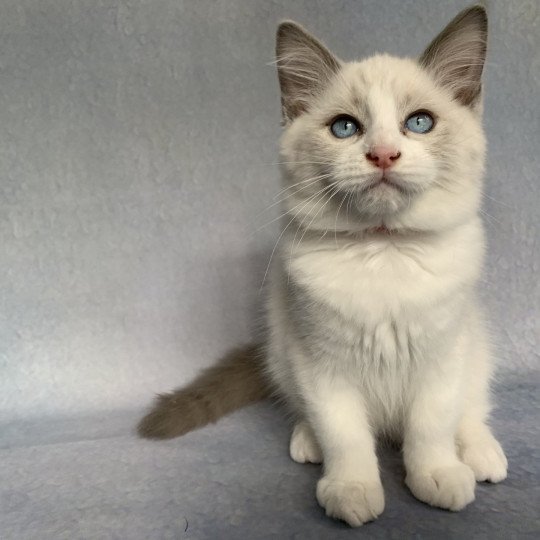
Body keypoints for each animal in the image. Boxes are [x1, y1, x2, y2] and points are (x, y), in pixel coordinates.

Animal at [138, 5, 506, 528]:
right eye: (345, 128)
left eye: (419, 122)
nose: (383, 154)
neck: (382, 250)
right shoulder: (321, 362)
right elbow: (344, 433)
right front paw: (352, 490)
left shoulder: (441, 357)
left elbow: (431, 425)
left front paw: (436, 475)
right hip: (281, 348)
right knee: (307, 410)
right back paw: (306, 440)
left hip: (473, 344)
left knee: (472, 406)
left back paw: (480, 455)